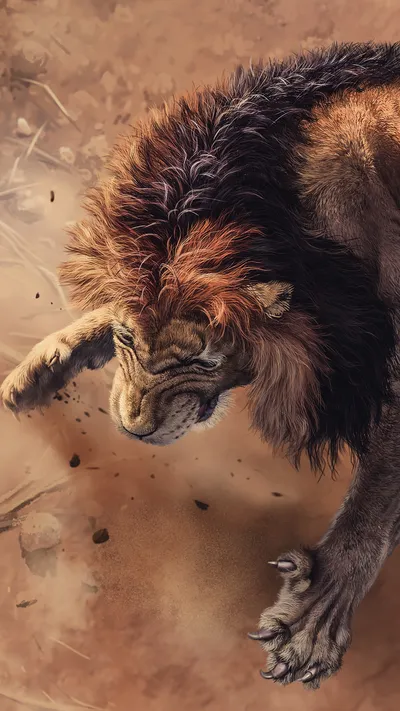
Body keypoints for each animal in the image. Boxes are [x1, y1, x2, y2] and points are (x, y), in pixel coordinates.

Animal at [2, 42, 400, 689]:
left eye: (200, 359)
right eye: (127, 340)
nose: (133, 429)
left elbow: (374, 496)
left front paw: (315, 615)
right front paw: (44, 363)